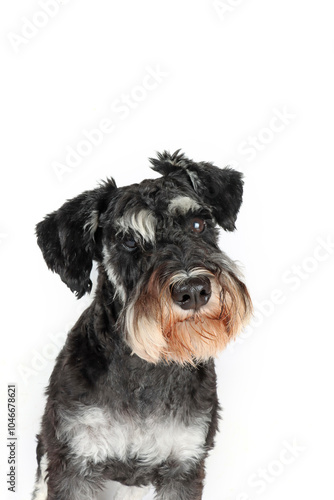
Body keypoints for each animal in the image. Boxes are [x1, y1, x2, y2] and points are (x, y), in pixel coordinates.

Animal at [32, 150, 250, 498]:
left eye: (198, 224)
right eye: (129, 243)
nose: (193, 290)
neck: (147, 363)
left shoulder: (184, 464)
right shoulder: (73, 462)